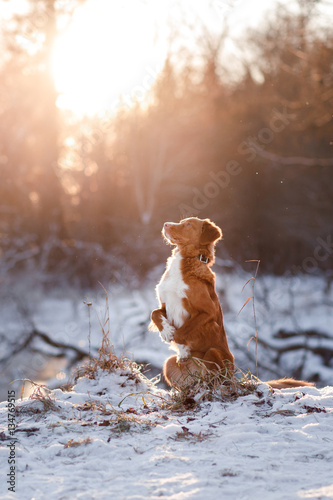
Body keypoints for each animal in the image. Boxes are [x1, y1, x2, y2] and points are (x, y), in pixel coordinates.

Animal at [149, 217, 312, 388]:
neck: (187, 260)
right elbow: (154, 313)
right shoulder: (165, 305)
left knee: (217, 378)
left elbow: (181, 332)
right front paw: (166, 331)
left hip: (214, 353)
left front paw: (183, 349)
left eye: (188, 224)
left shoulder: (208, 310)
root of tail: (234, 378)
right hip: (169, 363)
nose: (165, 224)